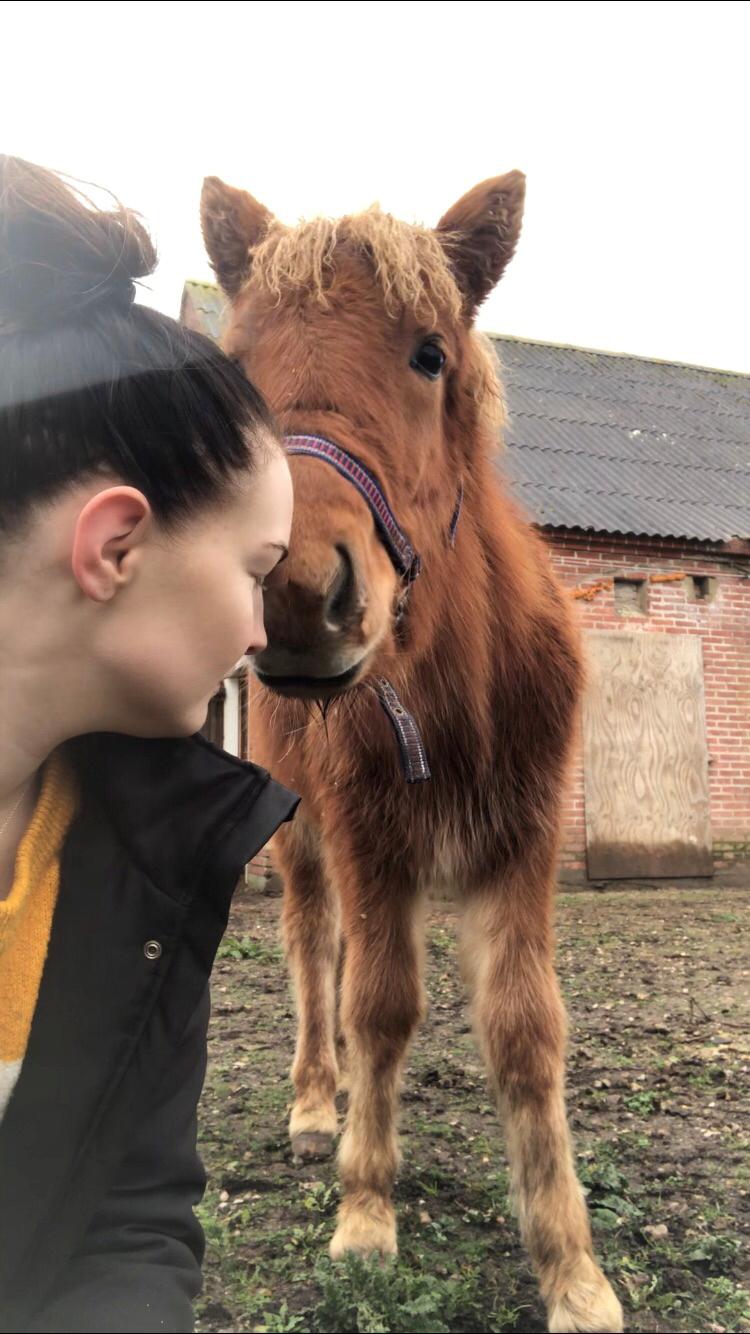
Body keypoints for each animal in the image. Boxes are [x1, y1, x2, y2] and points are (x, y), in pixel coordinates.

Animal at [198, 180, 619, 1334]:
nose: (295, 591)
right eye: (238, 368)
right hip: (304, 836)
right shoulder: (370, 837)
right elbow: (379, 1005)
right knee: (313, 953)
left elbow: (524, 1028)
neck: (456, 687)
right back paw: (316, 1102)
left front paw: (571, 1268)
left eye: (430, 354)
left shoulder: (522, 843)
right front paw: (365, 1212)